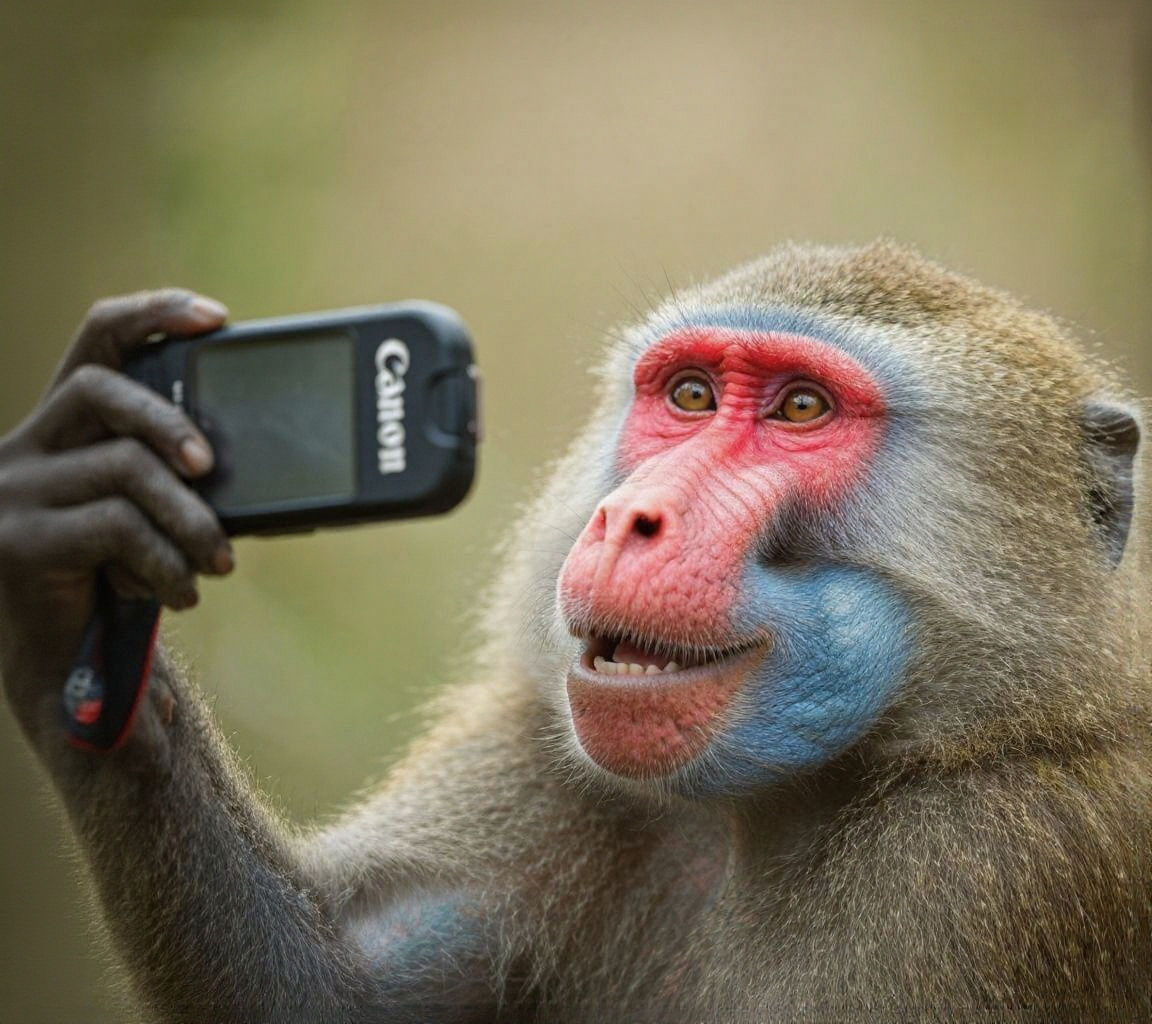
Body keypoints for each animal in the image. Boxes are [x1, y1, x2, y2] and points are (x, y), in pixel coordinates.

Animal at [0, 240, 1149, 1023]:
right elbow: (328, 989)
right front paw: (68, 567)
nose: (632, 515)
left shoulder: (997, 866)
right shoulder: (551, 750)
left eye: (801, 410)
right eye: (689, 393)